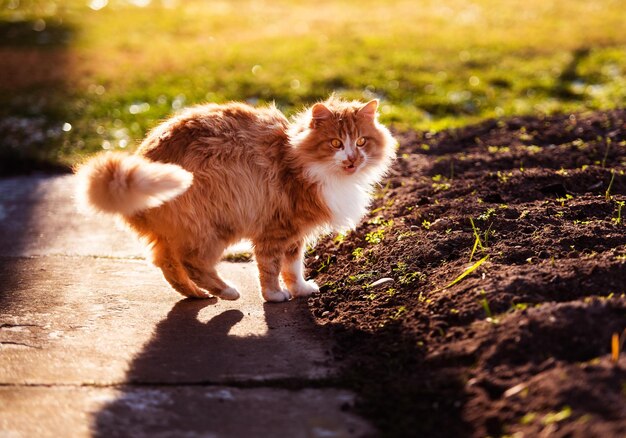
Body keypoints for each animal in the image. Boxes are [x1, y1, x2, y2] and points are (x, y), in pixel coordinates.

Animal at [74, 95, 394, 302]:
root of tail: (142, 159)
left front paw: (300, 290)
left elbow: (293, 267)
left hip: (178, 234)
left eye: (361, 141)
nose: (352, 159)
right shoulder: (276, 230)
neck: (297, 158)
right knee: (192, 263)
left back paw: (197, 295)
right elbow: (270, 268)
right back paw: (227, 292)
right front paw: (275, 295)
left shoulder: (295, 234)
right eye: (336, 143)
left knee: (168, 265)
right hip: (212, 227)